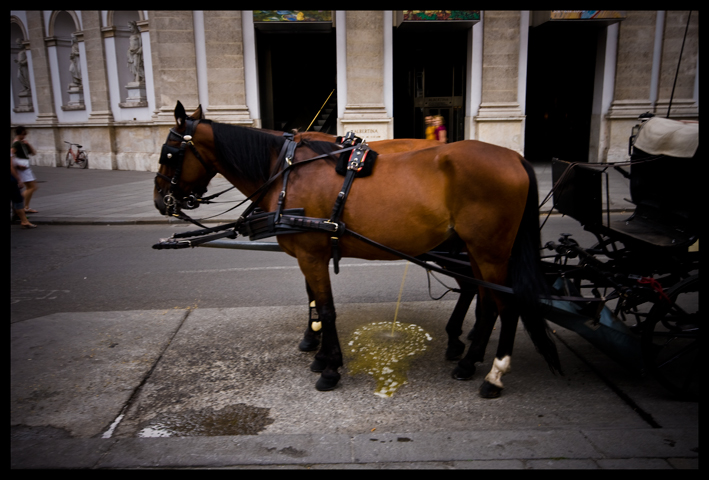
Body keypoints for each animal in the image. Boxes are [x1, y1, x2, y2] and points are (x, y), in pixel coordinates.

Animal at [155, 104, 560, 398]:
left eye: (169, 153)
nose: (161, 200)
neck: (286, 172)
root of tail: (514, 157)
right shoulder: (310, 256)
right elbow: (316, 300)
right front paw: (319, 351)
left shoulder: (311, 254)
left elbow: (327, 308)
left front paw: (330, 366)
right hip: (476, 252)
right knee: (486, 301)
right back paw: (467, 359)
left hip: (490, 252)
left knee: (507, 306)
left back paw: (493, 374)